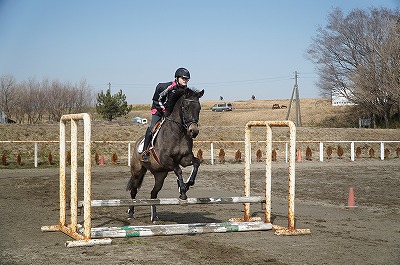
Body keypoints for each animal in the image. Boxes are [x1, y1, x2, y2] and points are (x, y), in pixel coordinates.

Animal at [127, 88, 205, 221]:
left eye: (198, 108)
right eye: (185, 107)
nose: (193, 131)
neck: (178, 132)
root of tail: (137, 142)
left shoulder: (185, 159)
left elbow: (196, 163)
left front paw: (188, 184)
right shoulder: (165, 160)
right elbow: (178, 170)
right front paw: (182, 191)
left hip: (160, 175)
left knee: (153, 193)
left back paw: (154, 217)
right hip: (137, 171)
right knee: (134, 190)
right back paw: (131, 212)